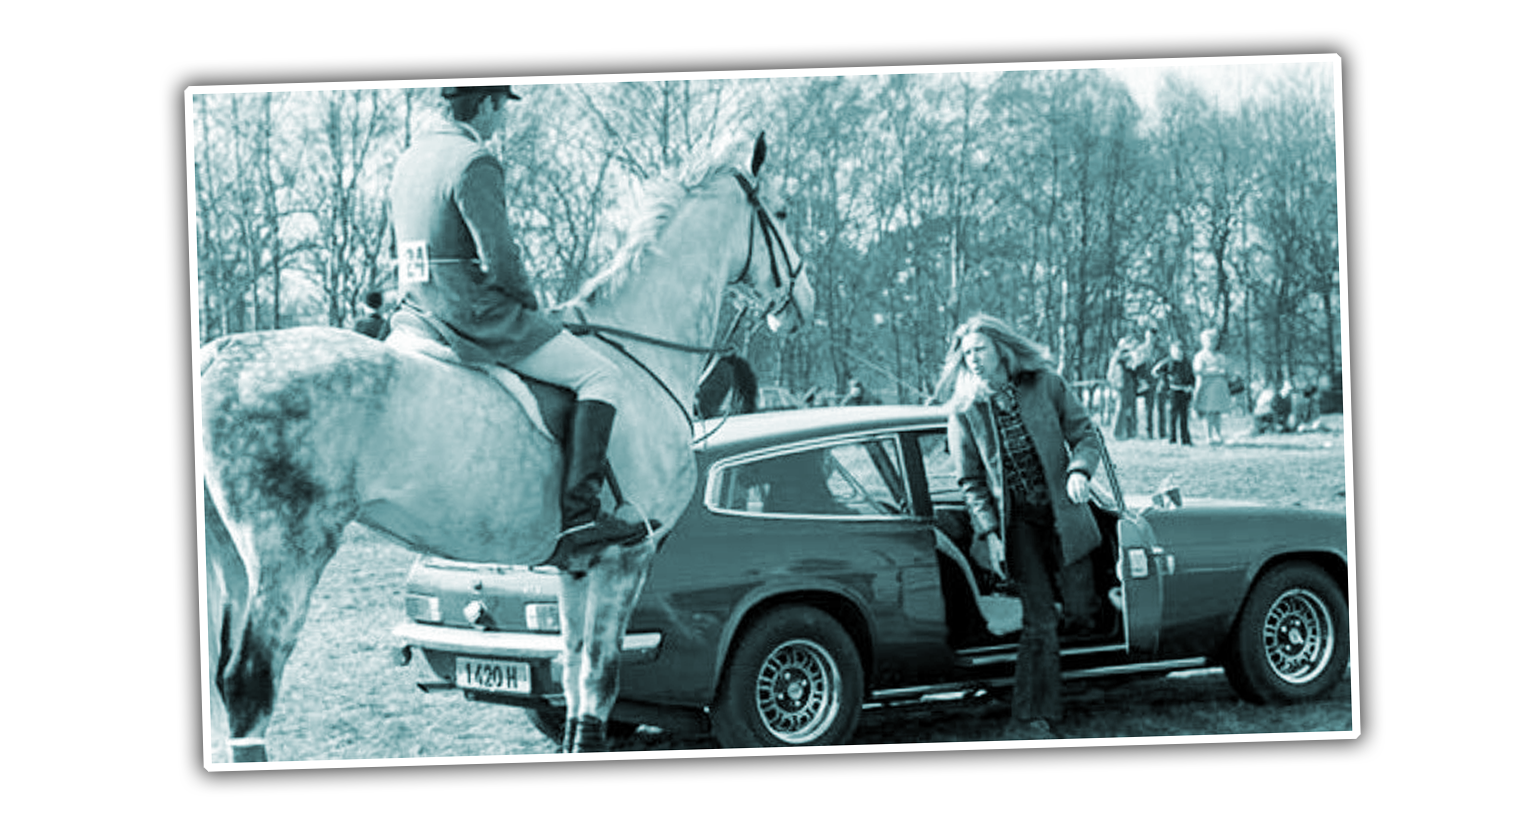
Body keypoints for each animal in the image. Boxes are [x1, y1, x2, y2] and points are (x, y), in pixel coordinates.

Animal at [197, 133, 812, 763]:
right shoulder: (628, 556)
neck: (641, 353)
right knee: (249, 683)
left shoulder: (578, 565)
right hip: (290, 551)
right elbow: (601, 680)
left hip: (230, 557)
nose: (802, 301)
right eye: (784, 212)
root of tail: (226, 351)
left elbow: (572, 679)